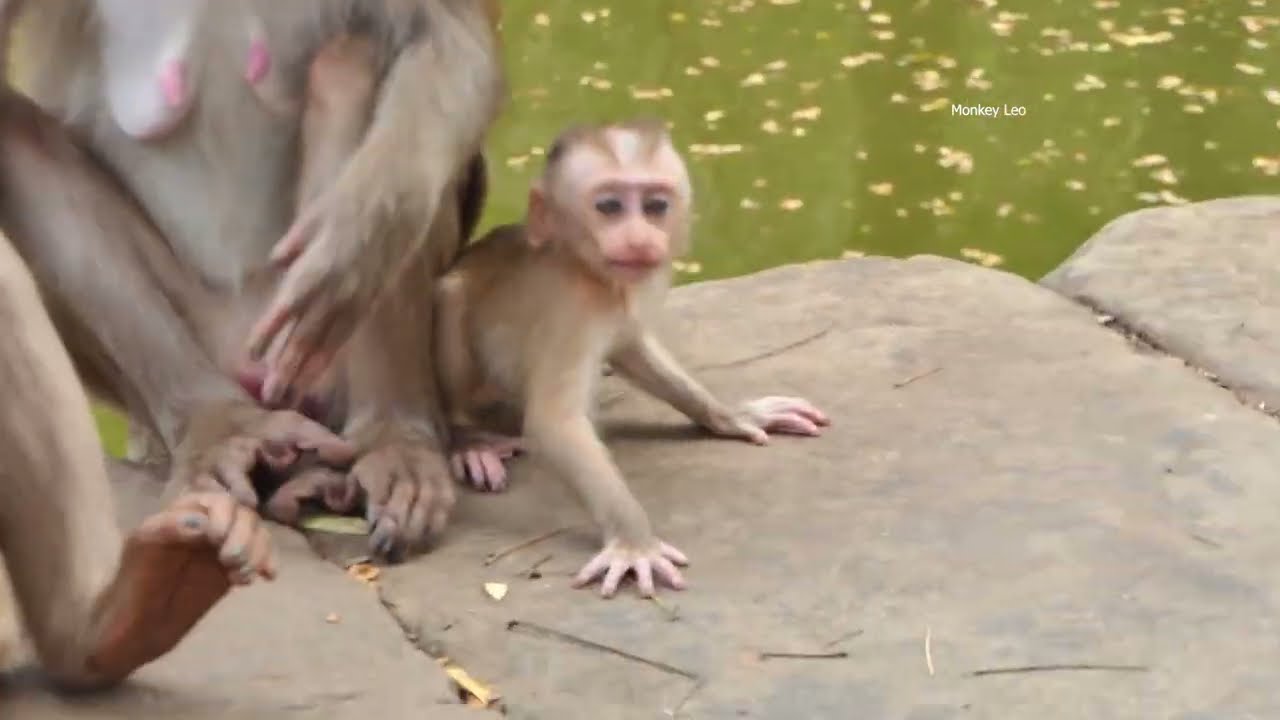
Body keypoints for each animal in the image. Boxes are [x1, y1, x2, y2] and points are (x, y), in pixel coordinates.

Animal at [2, 0, 505, 559]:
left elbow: (449, 34)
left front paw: (368, 232)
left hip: (307, 359)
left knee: (359, 53)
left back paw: (393, 434)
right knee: (19, 133)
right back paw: (217, 423)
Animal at [433, 120, 831, 598]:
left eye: (656, 206)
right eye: (609, 206)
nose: (640, 238)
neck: (588, 270)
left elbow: (631, 347)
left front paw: (732, 415)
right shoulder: (573, 307)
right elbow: (555, 422)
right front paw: (633, 542)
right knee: (450, 295)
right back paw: (467, 437)